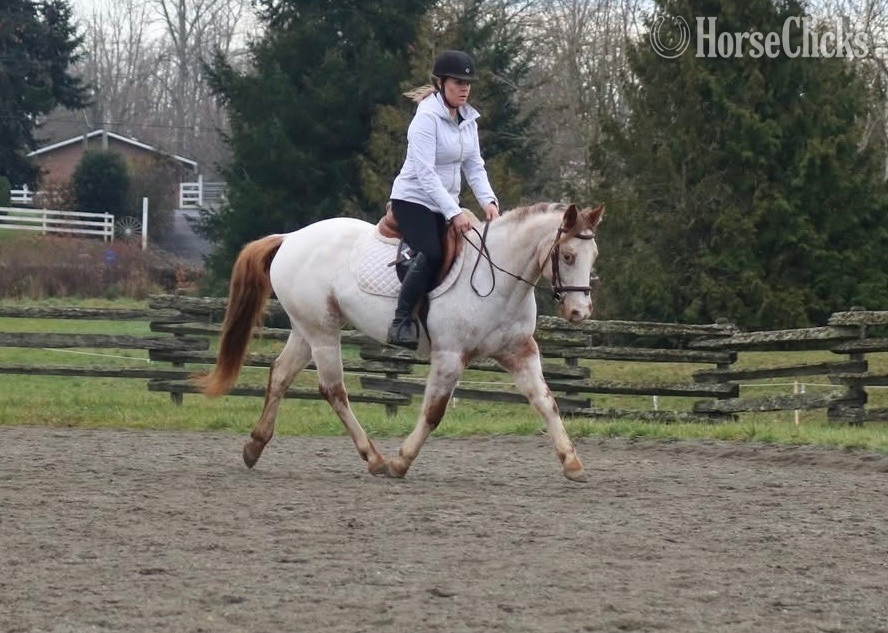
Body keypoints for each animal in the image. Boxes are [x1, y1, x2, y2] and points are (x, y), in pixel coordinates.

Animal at [199, 201, 604, 482]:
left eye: (593, 256)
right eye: (569, 256)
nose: (580, 312)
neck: (499, 279)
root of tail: (290, 237)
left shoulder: (520, 352)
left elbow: (546, 402)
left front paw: (573, 463)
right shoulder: (450, 355)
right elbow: (433, 412)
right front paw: (400, 462)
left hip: (306, 328)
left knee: (281, 375)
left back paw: (254, 446)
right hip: (323, 333)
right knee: (334, 390)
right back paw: (375, 459)